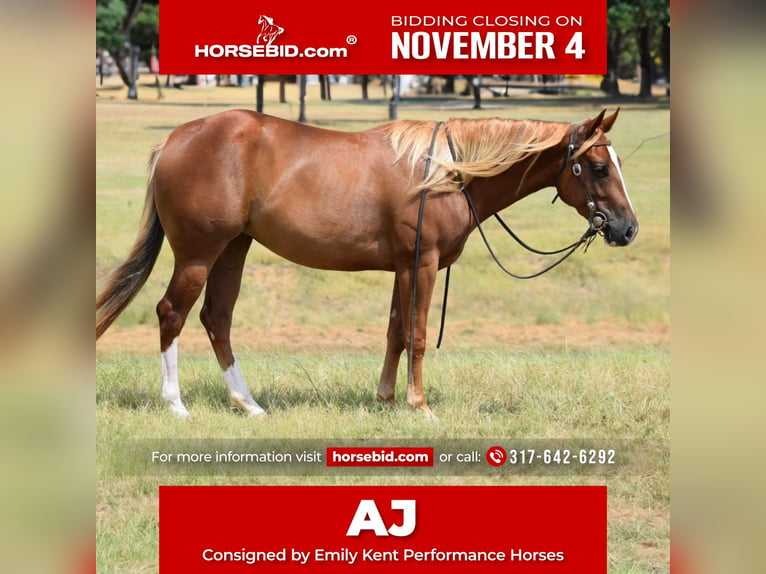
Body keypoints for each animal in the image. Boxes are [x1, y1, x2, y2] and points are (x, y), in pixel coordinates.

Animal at [94, 110, 636, 420]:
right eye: (599, 167)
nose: (627, 228)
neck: (448, 173)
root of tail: (173, 141)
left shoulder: (403, 267)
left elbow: (395, 331)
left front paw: (386, 398)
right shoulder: (422, 264)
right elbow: (416, 334)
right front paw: (419, 406)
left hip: (233, 248)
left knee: (216, 319)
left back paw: (248, 405)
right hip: (199, 253)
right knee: (172, 314)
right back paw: (176, 405)